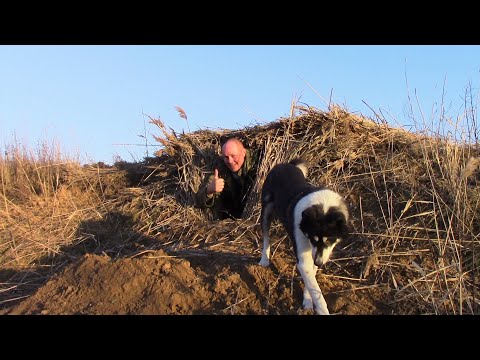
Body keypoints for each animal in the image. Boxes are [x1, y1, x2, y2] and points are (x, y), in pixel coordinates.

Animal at [258, 159, 348, 314]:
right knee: (266, 237)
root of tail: (284, 164)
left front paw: (307, 301)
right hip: (266, 210)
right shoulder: (306, 256)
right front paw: (321, 310)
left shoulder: (315, 254)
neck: (323, 204)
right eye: (313, 238)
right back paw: (265, 259)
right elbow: (317, 292)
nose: (319, 263)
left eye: (329, 240)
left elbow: (311, 283)